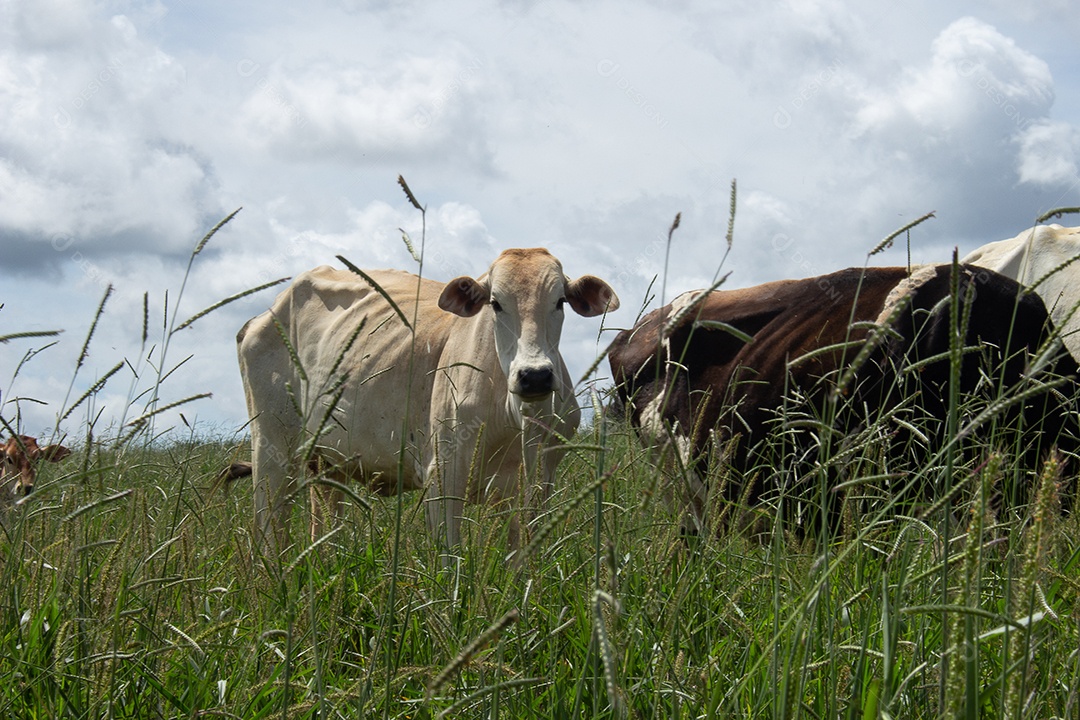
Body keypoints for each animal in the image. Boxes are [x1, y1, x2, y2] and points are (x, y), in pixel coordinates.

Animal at [238, 248, 619, 555]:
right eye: (495, 303)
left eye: (559, 301)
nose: (534, 375)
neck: (517, 421)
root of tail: (265, 314)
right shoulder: (444, 475)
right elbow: (450, 561)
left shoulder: (538, 482)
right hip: (272, 450)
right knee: (271, 531)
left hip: (328, 464)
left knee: (324, 531)